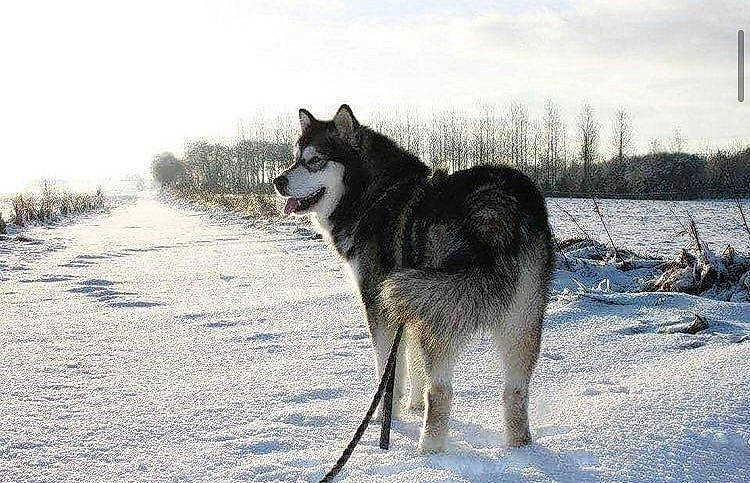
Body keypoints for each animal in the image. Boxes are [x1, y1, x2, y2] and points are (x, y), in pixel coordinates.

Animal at [273, 105, 554, 452]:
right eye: (295, 157)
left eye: (314, 161)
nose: (277, 180)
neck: (372, 194)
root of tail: (497, 208)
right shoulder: (409, 309)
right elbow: (412, 363)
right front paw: (414, 406)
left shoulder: (381, 306)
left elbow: (388, 372)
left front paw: (385, 417)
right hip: (520, 319)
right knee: (516, 391)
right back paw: (520, 448)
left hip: (443, 310)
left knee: (442, 391)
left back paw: (428, 452)